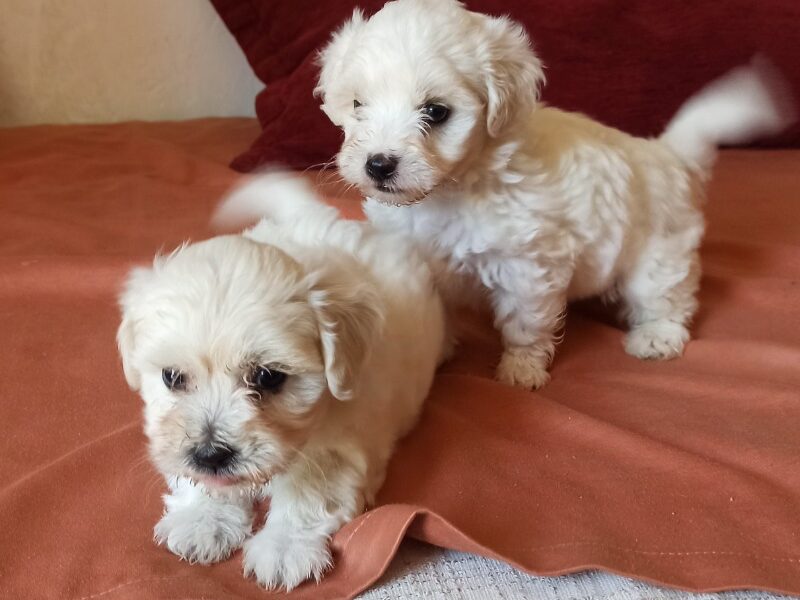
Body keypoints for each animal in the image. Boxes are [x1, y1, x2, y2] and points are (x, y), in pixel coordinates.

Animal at [117, 171, 450, 588]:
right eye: (172, 377)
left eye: (267, 377)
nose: (210, 454)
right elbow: (203, 483)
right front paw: (203, 521)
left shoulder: (340, 447)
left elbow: (309, 493)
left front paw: (284, 548)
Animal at [314, 0, 792, 390]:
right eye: (357, 105)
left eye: (436, 111)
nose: (379, 164)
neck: (452, 189)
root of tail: (667, 153)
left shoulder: (528, 265)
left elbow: (524, 324)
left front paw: (520, 370)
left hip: (660, 252)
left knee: (666, 296)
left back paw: (656, 336)